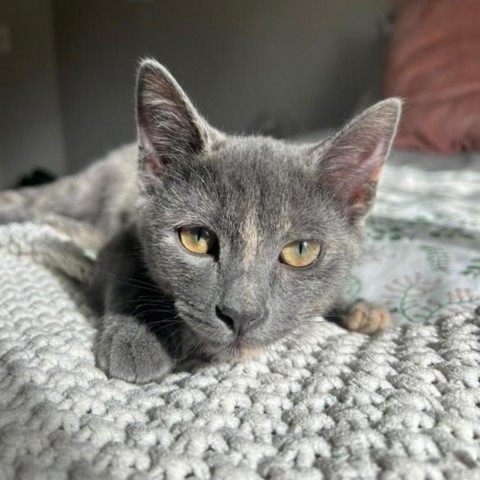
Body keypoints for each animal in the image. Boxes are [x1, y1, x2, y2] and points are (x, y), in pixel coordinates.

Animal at [0, 60, 402, 382]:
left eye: (301, 250)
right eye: (196, 237)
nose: (242, 315)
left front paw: (359, 309)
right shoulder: (124, 237)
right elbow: (127, 273)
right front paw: (137, 340)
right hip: (80, 192)